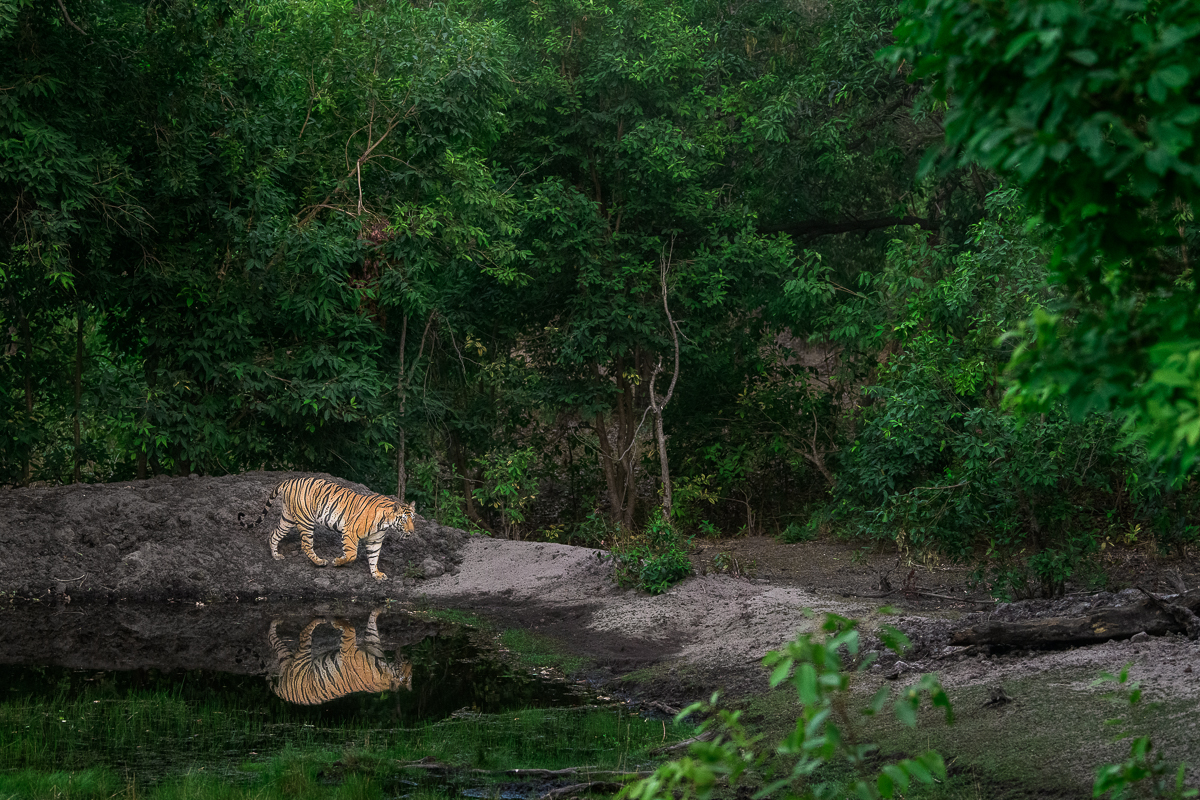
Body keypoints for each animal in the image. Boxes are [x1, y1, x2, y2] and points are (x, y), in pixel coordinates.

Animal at [238, 474, 417, 582]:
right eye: (404, 520)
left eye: (413, 519)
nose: (412, 532)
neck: (385, 524)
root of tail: (289, 480)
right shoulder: (350, 532)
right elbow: (351, 554)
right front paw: (337, 562)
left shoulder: (374, 541)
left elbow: (373, 558)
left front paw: (377, 574)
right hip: (306, 520)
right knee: (306, 545)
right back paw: (319, 562)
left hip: (288, 518)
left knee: (274, 534)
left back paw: (276, 556)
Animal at [267, 609, 412, 705]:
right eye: (410, 671)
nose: (408, 658)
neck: (387, 667)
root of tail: (283, 693)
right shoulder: (372, 643)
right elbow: (371, 627)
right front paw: (379, 607)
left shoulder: (348, 650)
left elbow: (351, 629)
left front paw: (337, 622)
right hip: (287, 658)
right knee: (272, 638)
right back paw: (277, 621)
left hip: (300, 658)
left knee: (301, 633)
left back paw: (318, 619)